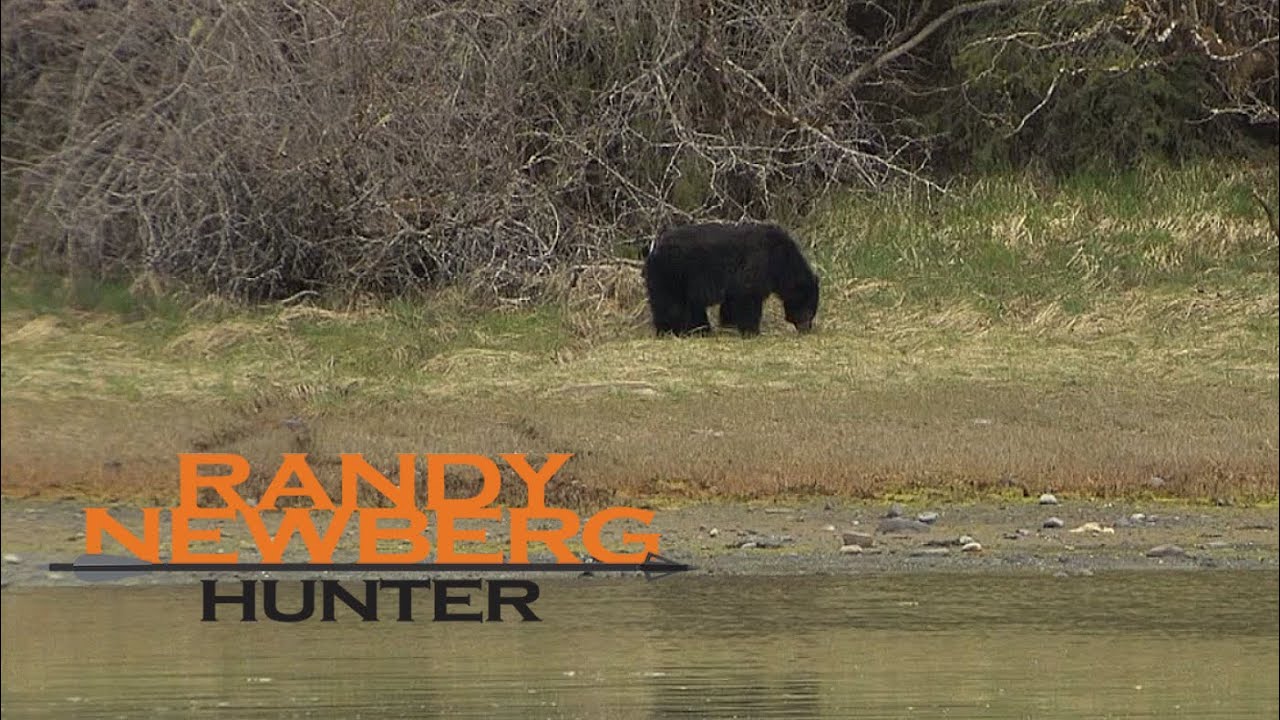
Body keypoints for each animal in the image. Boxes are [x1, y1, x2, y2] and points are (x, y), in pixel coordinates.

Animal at [642, 222, 820, 337]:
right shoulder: (756, 264)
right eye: (810, 310)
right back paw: (669, 331)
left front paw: (730, 327)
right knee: (671, 304)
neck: (780, 260)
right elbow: (747, 298)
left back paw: (701, 330)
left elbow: (732, 303)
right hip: (673, 274)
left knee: (690, 307)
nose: (806, 328)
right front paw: (752, 331)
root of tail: (654, 250)